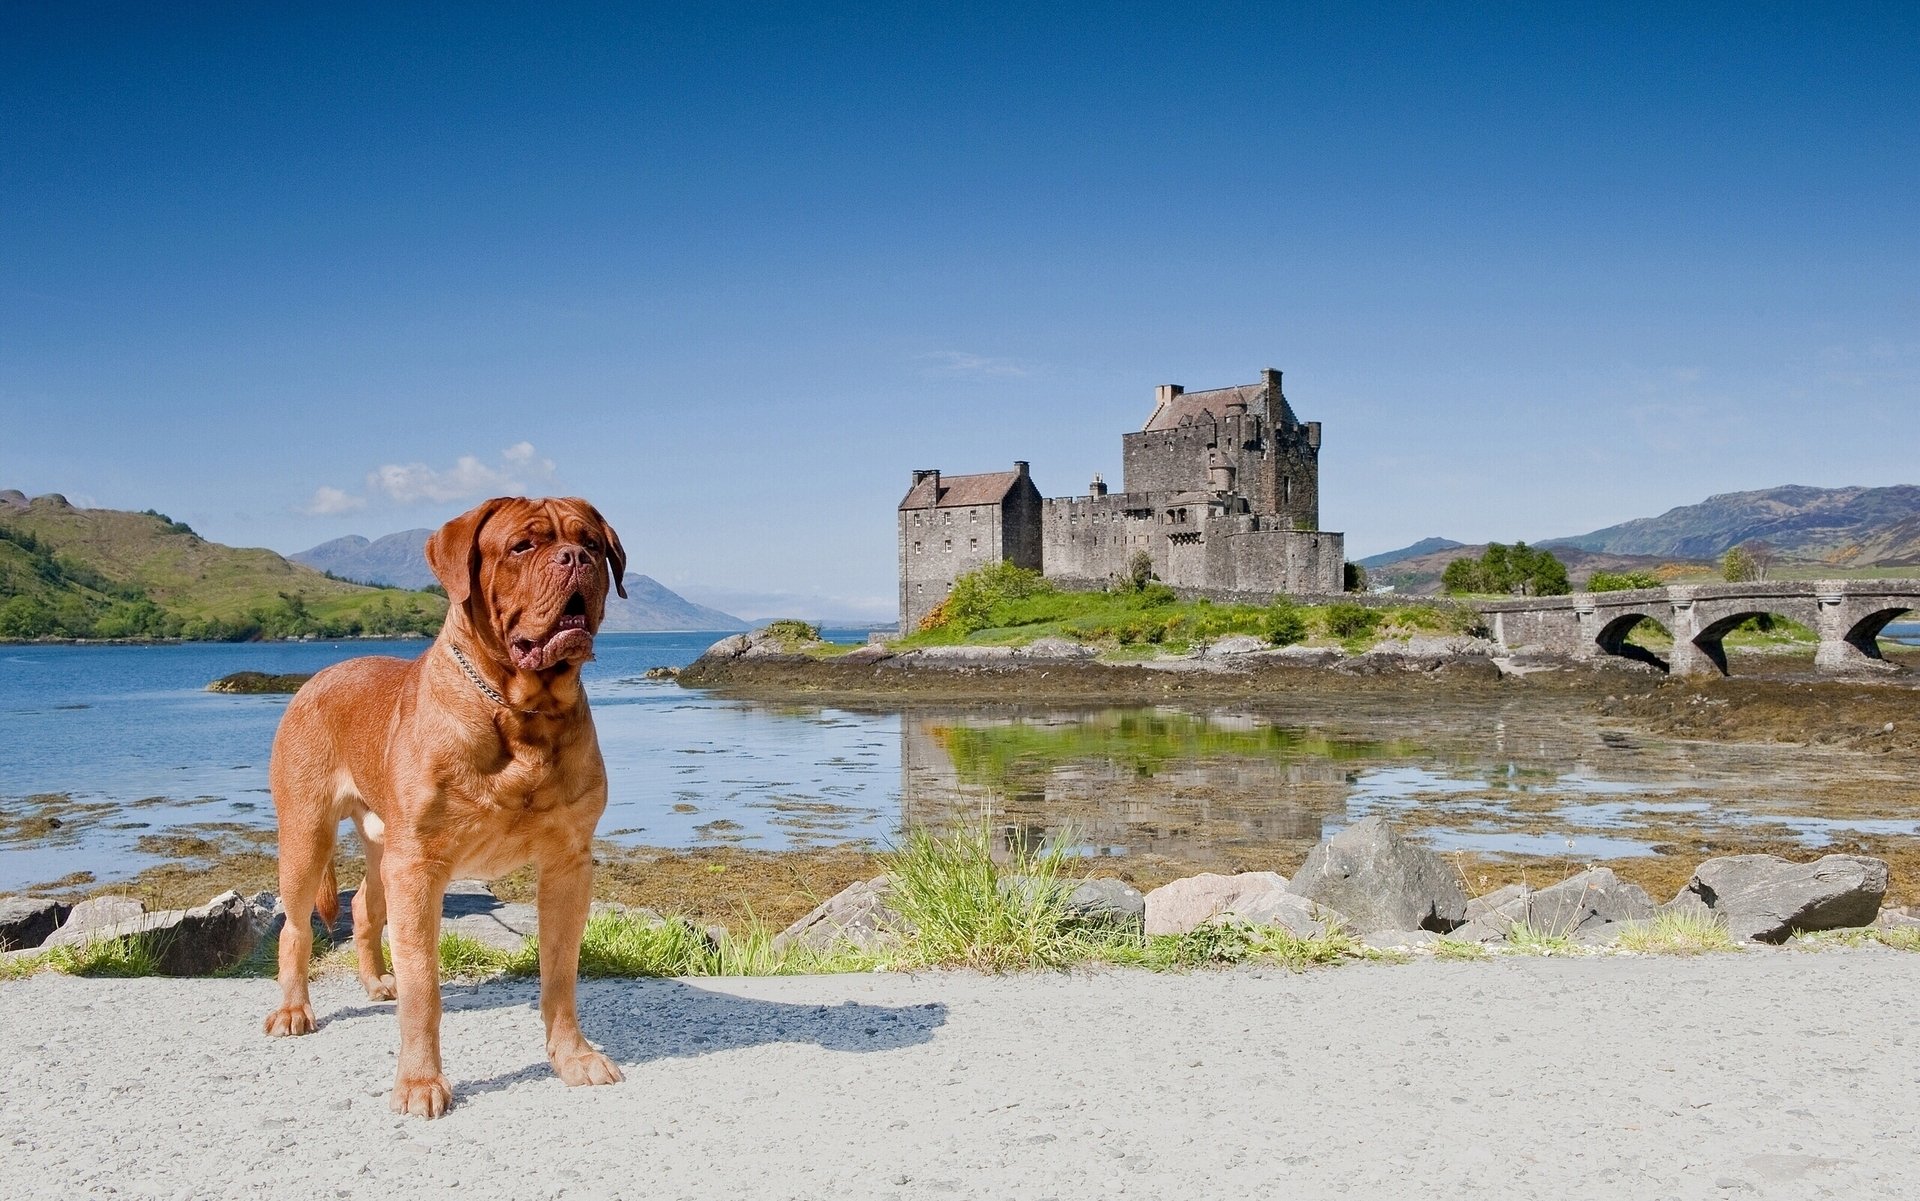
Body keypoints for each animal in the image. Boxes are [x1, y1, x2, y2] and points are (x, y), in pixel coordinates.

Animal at [264, 494, 629, 1112]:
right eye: (522, 546)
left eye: (593, 545)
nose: (575, 558)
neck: (520, 711)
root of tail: (316, 676)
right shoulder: (419, 866)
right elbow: (424, 988)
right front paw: (420, 1082)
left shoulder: (568, 864)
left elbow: (560, 974)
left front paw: (573, 1058)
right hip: (307, 833)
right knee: (295, 926)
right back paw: (293, 1009)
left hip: (382, 844)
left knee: (365, 907)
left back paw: (375, 981)